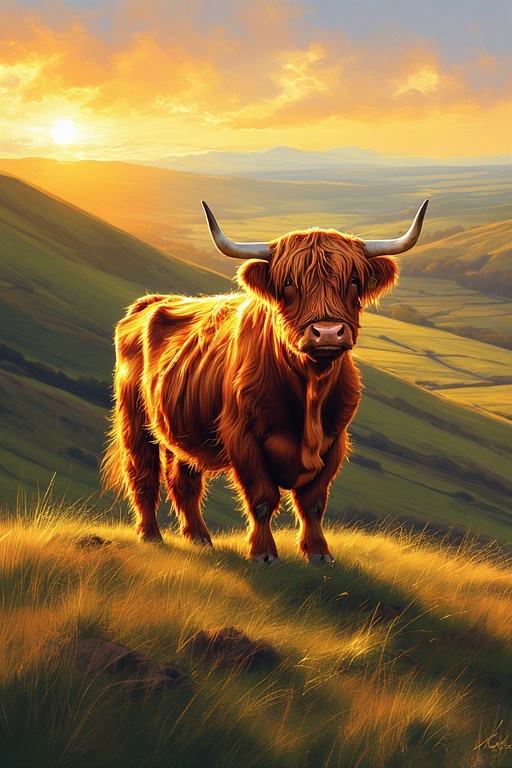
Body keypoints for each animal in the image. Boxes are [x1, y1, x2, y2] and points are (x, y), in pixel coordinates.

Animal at [102, 199, 428, 563]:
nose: (328, 332)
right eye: (288, 283)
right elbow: (261, 498)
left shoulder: (335, 440)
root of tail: (153, 301)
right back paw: (150, 535)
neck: (310, 390)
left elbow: (313, 503)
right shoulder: (243, 436)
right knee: (142, 473)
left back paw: (199, 537)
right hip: (134, 418)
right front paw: (264, 554)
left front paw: (319, 553)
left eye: (354, 280)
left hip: (179, 426)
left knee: (183, 481)